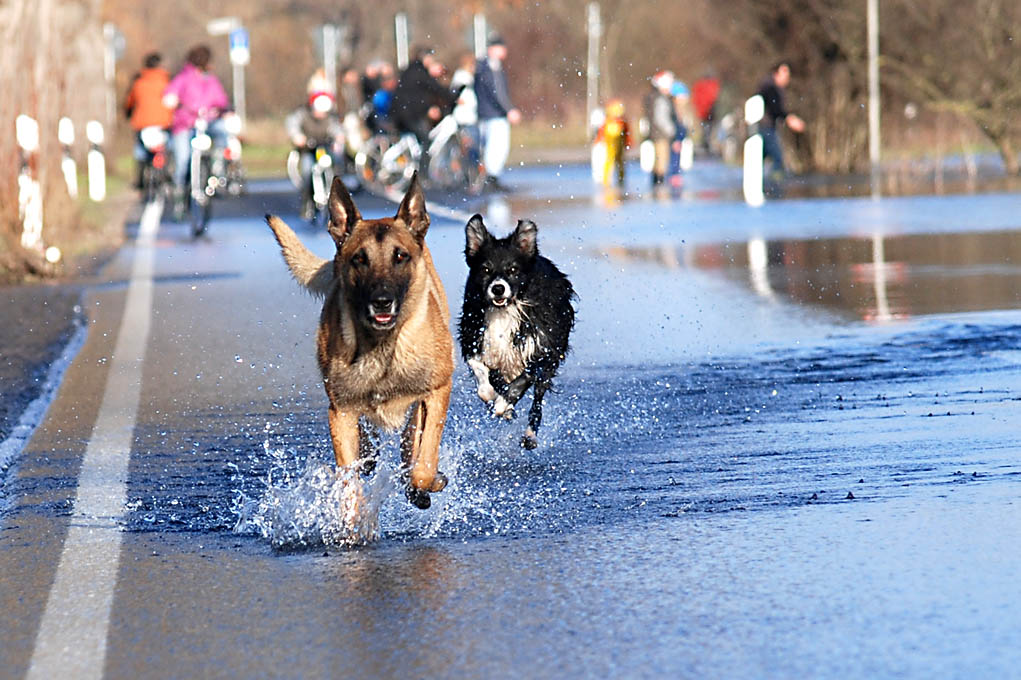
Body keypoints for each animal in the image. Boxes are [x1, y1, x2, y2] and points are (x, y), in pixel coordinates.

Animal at [265, 172, 453, 506]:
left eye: (400, 256)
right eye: (359, 260)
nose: (382, 302)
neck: (382, 348)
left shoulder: (437, 390)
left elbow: (424, 462)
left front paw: (425, 482)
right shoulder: (339, 411)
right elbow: (349, 482)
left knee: (413, 442)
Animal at [461, 214, 575, 447]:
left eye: (513, 269)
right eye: (485, 269)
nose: (498, 288)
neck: (504, 309)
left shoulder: (543, 349)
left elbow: (523, 379)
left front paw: (502, 403)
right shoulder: (472, 334)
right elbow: (480, 373)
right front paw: (492, 397)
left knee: (537, 401)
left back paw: (529, 434)